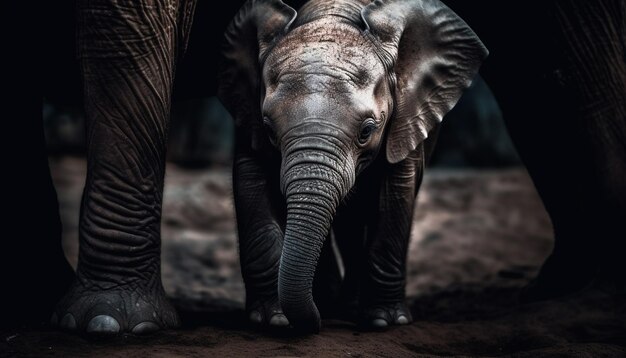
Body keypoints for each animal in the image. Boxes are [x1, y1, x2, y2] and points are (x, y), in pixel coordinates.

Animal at [217, 0, 486, 332]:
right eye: (268, 129)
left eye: (367, 131)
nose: (316, 323)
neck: (331, 17)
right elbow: (250, 182)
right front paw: (272, 320)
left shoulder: (405, 119)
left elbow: (395, 195)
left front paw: (385, 321)